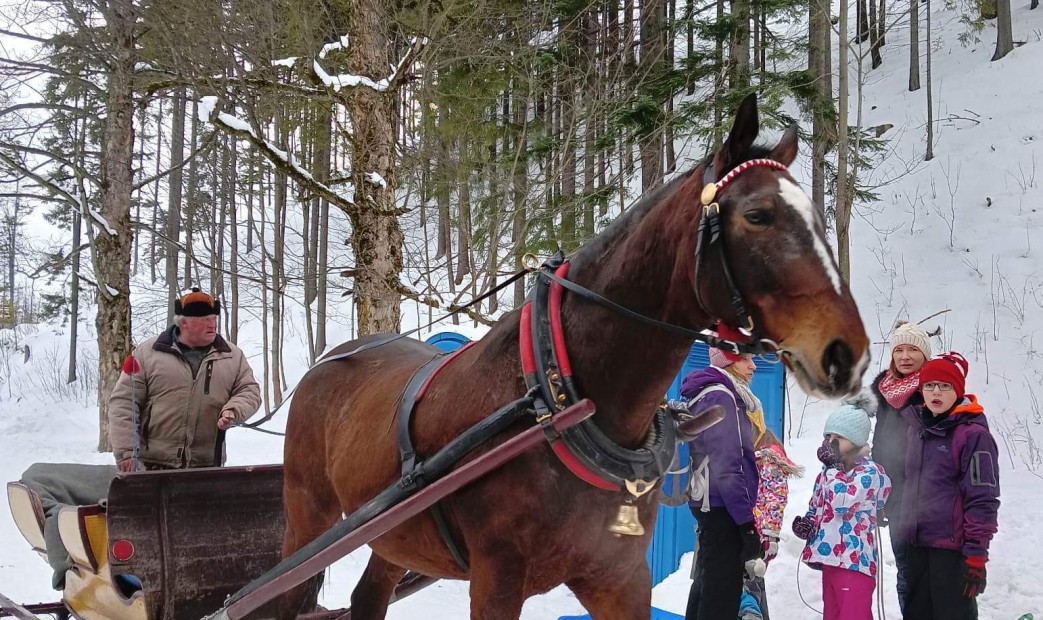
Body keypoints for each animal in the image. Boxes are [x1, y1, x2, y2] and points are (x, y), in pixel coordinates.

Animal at [277, 92, 871, 617]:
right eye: (758, 215)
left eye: (818, 218)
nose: (849, 354)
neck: (557, 396)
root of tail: (326, 363)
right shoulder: (496, 579)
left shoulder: (619, 577)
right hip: (307, 521)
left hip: (394, 535)